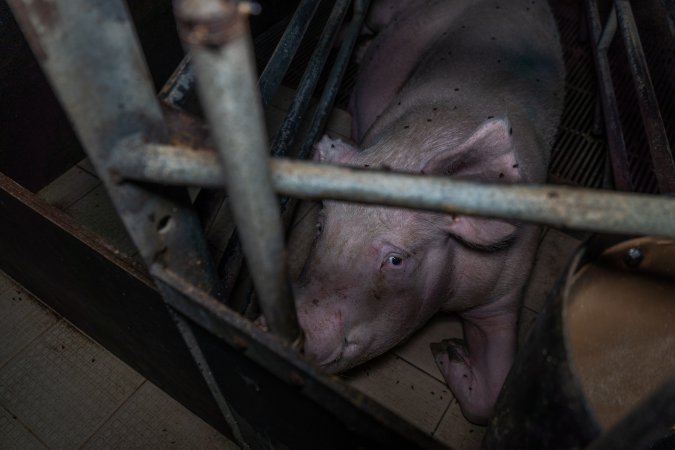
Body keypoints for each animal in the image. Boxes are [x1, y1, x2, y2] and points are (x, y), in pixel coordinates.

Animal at [296, 0, 564, 426]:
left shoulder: (506, 288)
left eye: (396, 260)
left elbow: (492, 398)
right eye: (321, 227)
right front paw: (448, 347)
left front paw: (445, 348)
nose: (303, 327)